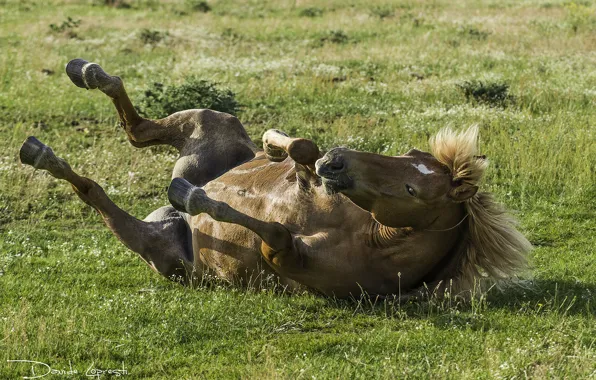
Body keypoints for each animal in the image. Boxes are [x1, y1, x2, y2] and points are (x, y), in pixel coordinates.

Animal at [19, 58, 532, 298]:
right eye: (408, 154)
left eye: (412, 189)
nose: (338, 164)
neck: (370, 235)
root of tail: (164, 221)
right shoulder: (312, 174)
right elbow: (302, 147)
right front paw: (275, 146)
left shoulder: (283, 254)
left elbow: (276, 232)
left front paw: (194, 197)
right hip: (209, 120)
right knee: (138, 129)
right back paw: (84, 73)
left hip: (160, 252)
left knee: (95, 191)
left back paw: (44, 154)